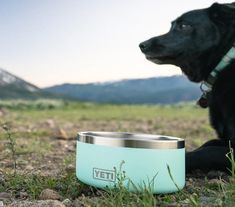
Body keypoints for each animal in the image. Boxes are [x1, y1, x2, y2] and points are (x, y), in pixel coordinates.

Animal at [140, 2, 235, 172]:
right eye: (171, 26)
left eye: (183, 26)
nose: (142, 45)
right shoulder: (225, 140)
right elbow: (207, 144)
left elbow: (204, 152)